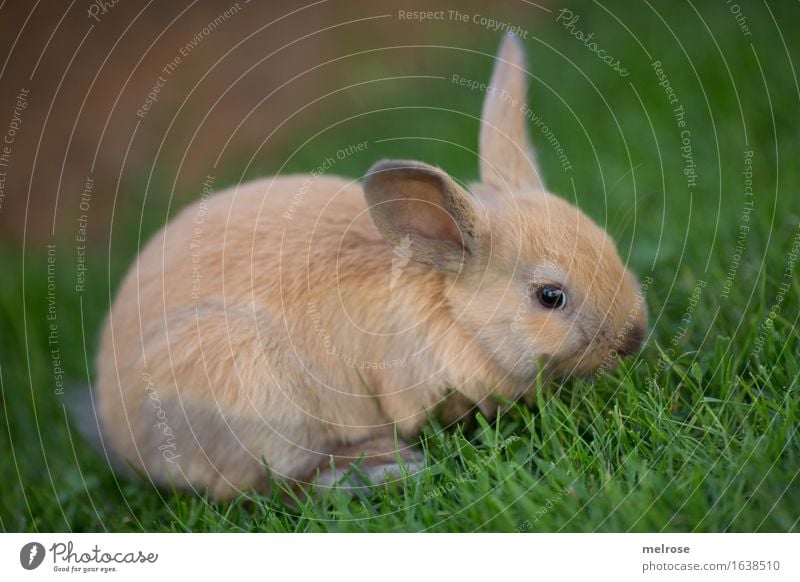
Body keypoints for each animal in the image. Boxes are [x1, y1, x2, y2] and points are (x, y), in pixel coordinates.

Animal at [97, 36, 648, 500]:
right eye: (549, 296)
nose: (634, 338)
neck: (452, 313)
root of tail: (121, 432)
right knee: (268, 486)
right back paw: (381, 467)